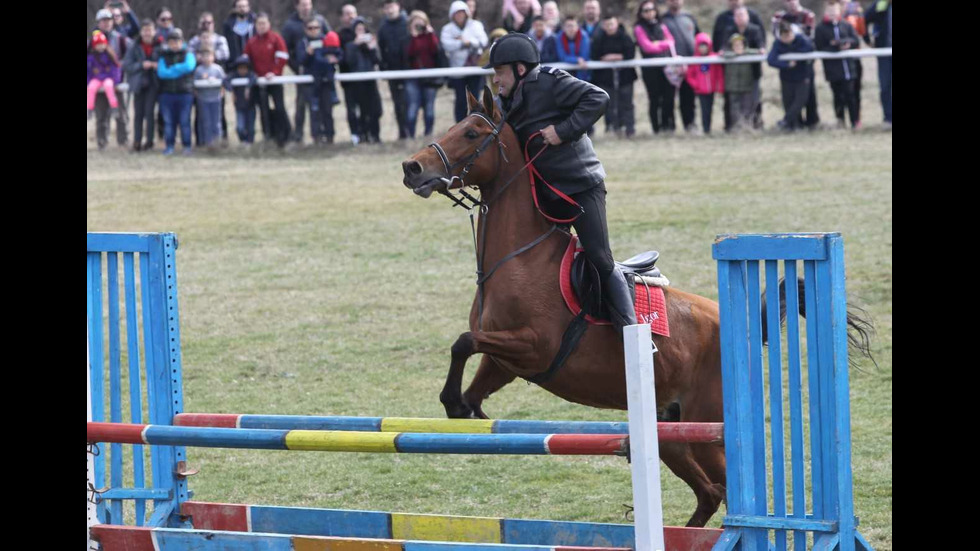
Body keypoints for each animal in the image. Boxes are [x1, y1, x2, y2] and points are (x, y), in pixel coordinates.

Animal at [400, 88, 872, 528]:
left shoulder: (533, 347)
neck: (519, 256)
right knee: (710, 492)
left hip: (707, 428)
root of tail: (742, 325)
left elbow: (464, 341)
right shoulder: (505, 362)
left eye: (471, 133)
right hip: (672, 432)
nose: (412, 168)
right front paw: (465, 407)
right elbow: (471, 360)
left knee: (728, 490)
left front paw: (453, 402)